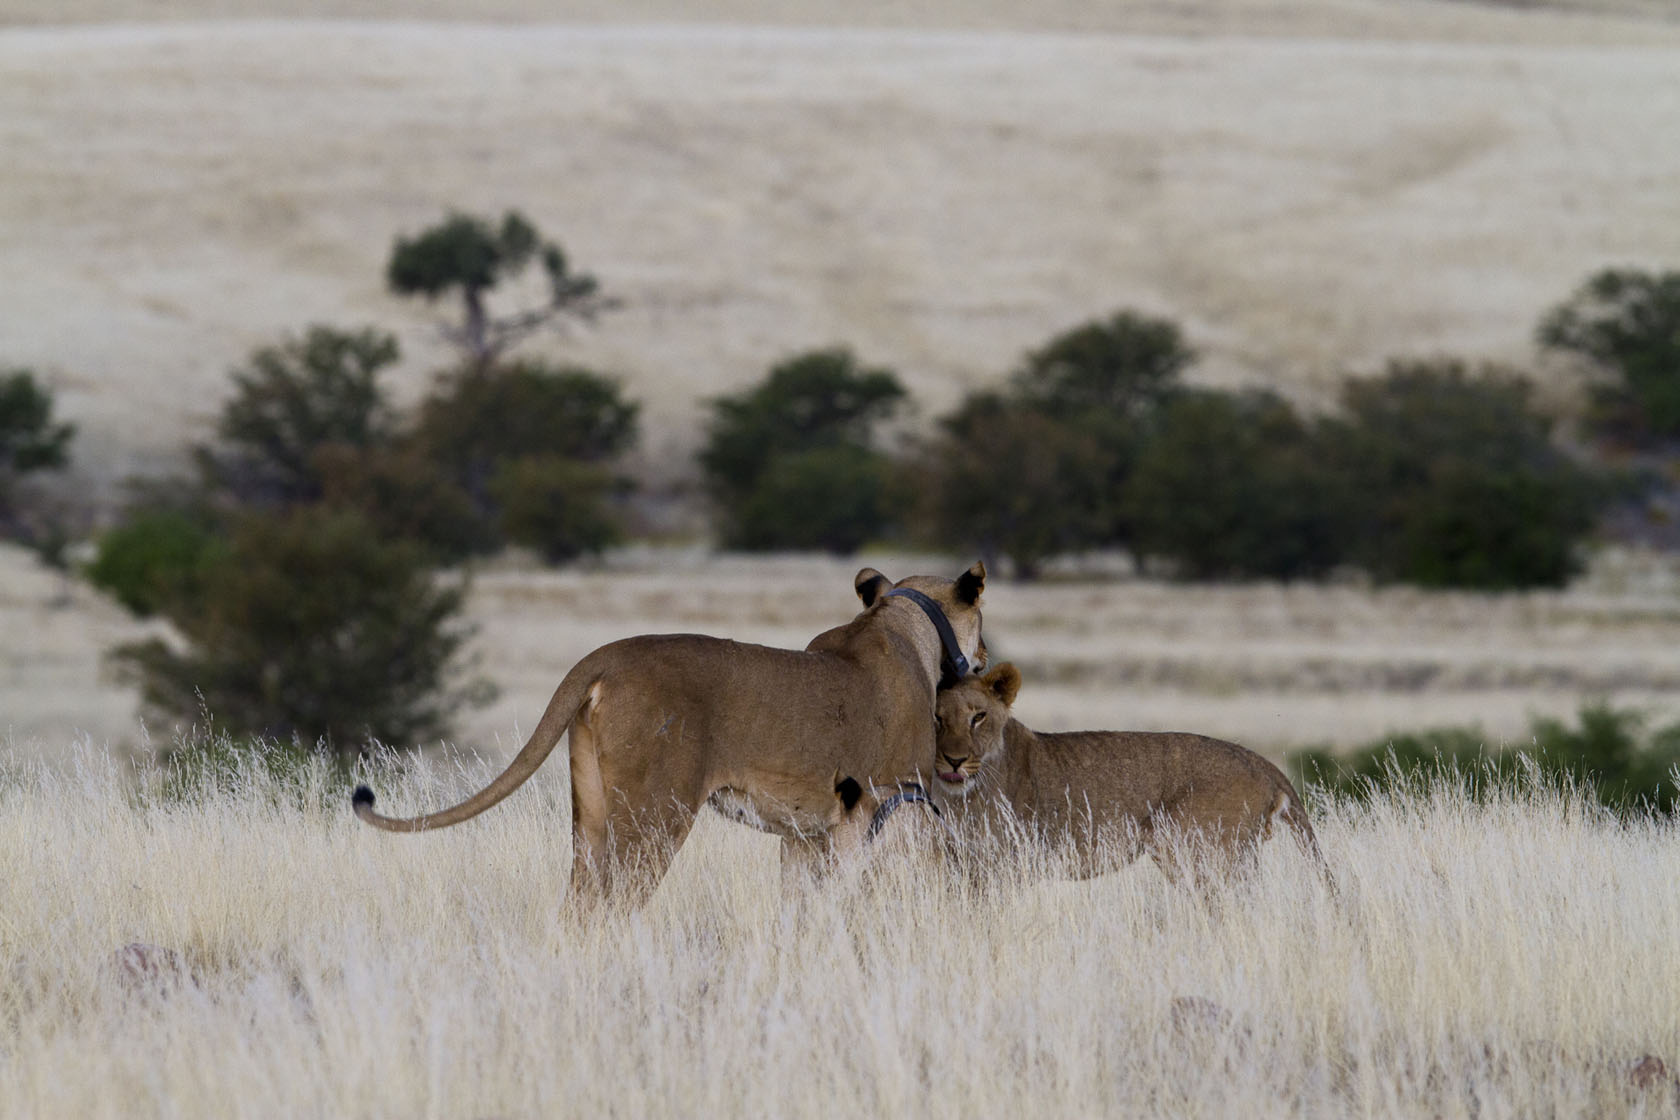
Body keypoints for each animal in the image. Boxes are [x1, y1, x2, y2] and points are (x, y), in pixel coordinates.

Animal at [353, 563, 986, 907]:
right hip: (656, 815)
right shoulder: (887, 806)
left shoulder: (806, 833)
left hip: (592, 814)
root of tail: (606, 656)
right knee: (608, 908)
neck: (903, 625)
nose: (982, 657)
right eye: (983, 619)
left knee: (577, 906)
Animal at [931, 663, 1325, 882]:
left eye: (978, 716)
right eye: (937, 717)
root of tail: (1260, 761)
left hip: (1194, 851)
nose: (954, 760)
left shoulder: (1010, 863)